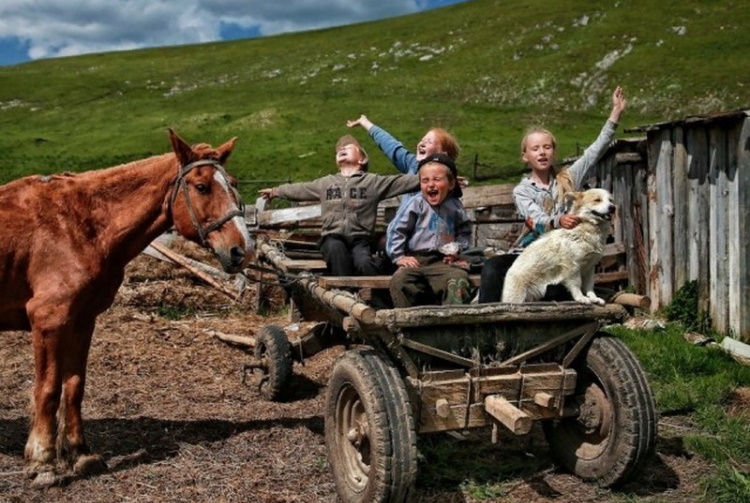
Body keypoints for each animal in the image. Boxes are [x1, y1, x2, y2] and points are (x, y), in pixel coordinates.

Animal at [0, 130, 254, 488]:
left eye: (232, 183)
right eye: (202, 186)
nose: (242, 250)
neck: (80, 226)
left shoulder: (82, 321)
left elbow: (74, 386)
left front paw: (81, 455)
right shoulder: (49, 320)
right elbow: (47, 390)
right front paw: (43, 463)